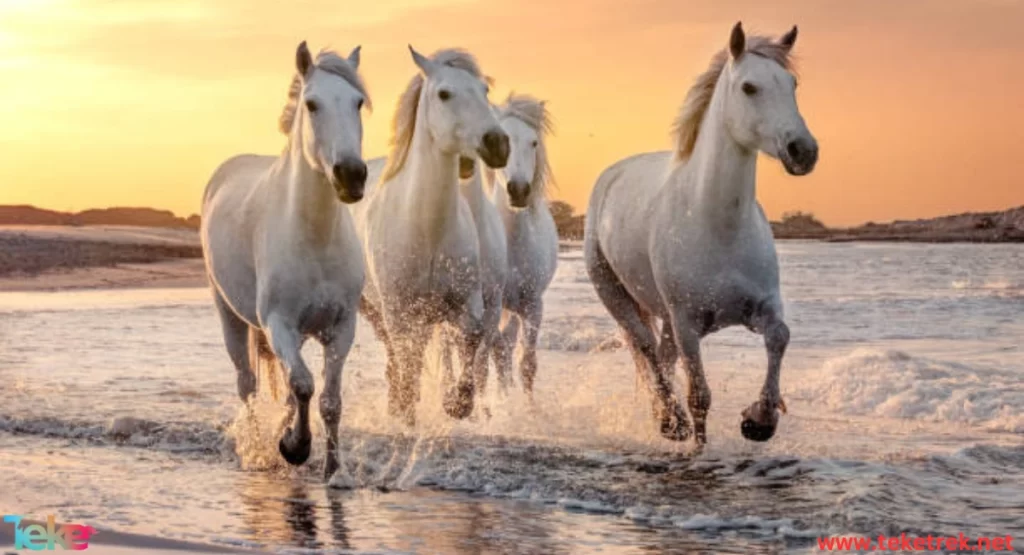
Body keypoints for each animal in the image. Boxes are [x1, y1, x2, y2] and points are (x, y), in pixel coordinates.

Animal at [201, 42, 370, 479]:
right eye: (312, 104)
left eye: (358, 102)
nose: (351, 175)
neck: (314, 237)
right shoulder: (278, 324)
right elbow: (305, 385)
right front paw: (294, 447)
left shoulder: (341, 327)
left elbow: (328, 400)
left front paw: (334, 470)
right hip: (230, 316)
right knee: (247, 385)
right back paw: (260, 449)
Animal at [350, 47, 509, 428]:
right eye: (444, 94)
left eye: (484, 91)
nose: (497, 144)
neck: (428, 229)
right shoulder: (399, 310)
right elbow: (408, 361)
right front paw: (408, 411)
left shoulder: (467, 303)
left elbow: (471, 340)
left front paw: (457, 403)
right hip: (374, 308)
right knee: (397, 356)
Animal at [585, 22, 815, 448]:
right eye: (749, 87)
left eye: (792, 83)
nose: (803, 150)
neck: (718, 226)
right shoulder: (688, 323)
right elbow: (700, 397)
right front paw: (700, 445)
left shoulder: (761, 307)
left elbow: (780, 336)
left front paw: (760, 420)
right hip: (617, 296)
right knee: (646, 348)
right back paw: (671, 421)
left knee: (661, 356)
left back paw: (664, 418)